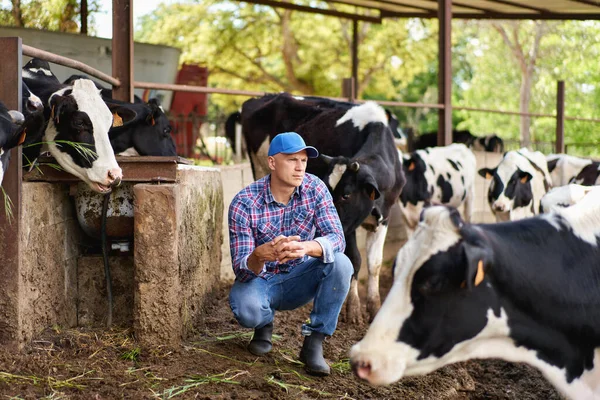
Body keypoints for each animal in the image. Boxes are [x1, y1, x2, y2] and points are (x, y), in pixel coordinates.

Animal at [238, 91, 404, 322]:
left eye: (346, 195)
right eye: (327, 189)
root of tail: (265, 96)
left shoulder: (384, 216)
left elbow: (374, 263)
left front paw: (374, 308)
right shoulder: (348, 227)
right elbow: (355, 259)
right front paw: (353, 309)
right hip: (260, 167)